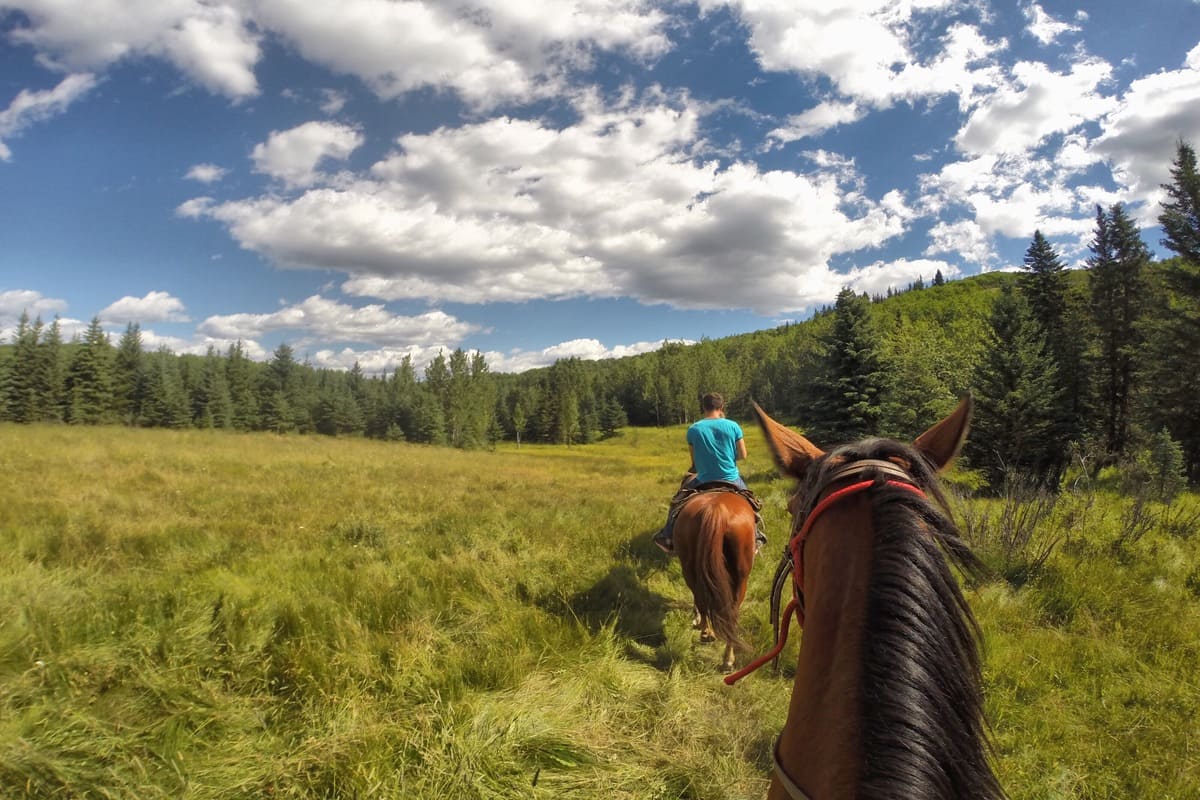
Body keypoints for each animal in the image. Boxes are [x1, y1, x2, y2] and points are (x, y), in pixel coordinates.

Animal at [676, 491, 758, 671]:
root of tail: (716, 509)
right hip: (740, 578)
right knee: (730, 613)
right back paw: (727, 658)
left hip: (690, 567)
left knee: (702, 598)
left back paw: (707, 634)